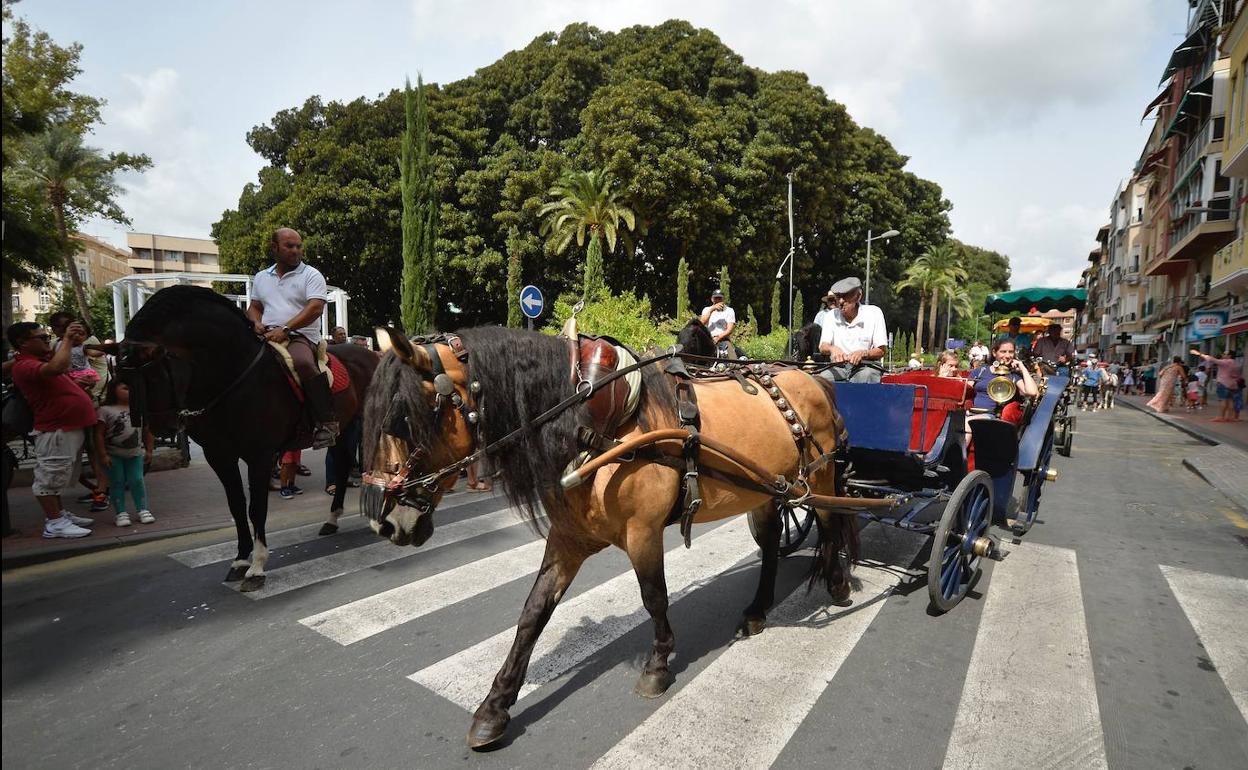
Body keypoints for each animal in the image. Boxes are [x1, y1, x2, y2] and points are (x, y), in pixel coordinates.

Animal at [117, 285, 374, 591]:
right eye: (124, 379)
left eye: (153, 373)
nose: (160, 428)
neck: (232, 376)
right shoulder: (220, 456)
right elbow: (237, 506)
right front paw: (240, 560)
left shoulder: (259, 455)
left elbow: (256, 508)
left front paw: (257, 566)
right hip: (342, 429)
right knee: (345, 464)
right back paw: (333, 518)